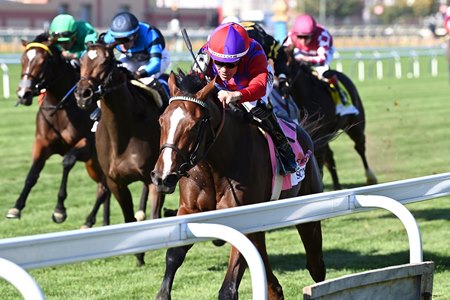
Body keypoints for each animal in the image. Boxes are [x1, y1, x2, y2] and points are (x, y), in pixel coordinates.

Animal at [6, 34, 110, 227]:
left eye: (42, 61)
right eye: (22, 59)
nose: (23, 94)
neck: (62, 107)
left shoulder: (87, 145)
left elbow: (67, 161)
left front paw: (59, 210)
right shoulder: (42, 143)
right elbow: (33, 173)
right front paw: (16, 207)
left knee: (105, 189)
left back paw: (89, 221)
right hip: (94, 165)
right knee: (105, 188)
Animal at [75, 39, 167, 264]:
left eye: (105, 61)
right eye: (82, 60)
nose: (82, 95)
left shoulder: (154, 179)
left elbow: (155, 215)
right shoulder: (115, 182)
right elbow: (129, 218)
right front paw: (139, 255)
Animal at [151, 71, 326, 298]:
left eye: (195, 125)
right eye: (161, 121)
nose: (162, 177)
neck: (217, 165)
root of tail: (303, 132)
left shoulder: (243, 220)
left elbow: (228, 288)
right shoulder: (189, 210)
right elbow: (174, 254)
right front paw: (163, 293)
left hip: (308, 214)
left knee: (316, 266)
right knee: (274, 284)